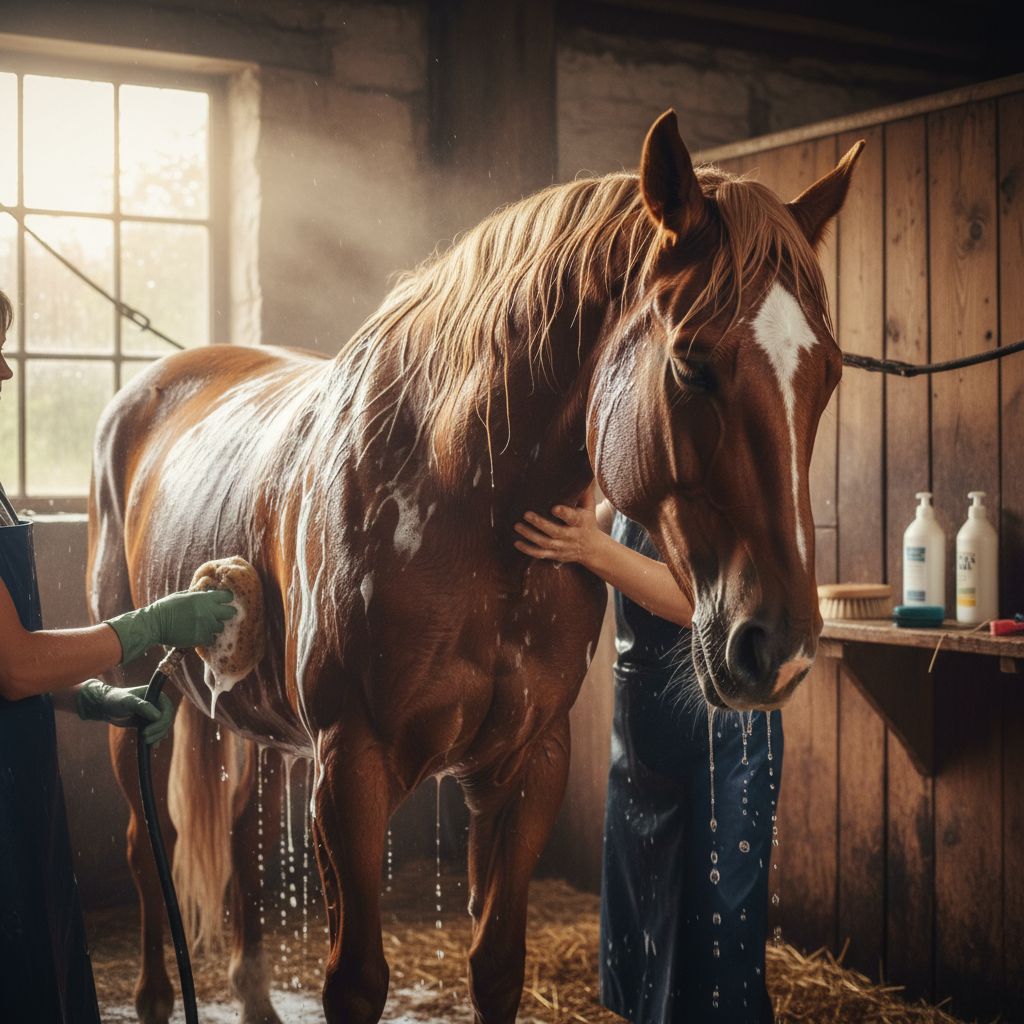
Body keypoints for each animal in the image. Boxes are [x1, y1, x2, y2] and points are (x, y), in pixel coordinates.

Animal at [87, 110, 862, 1024]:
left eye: (829, 373)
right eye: (690, 363)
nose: (780, 649)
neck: (462, 501)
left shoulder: (525, 768)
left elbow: (496, 963)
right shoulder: (350, 771)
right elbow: (356, 980)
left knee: (239, 836)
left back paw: (252, 994)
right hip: (137, 699)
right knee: (147, 847)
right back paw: (151, 998)